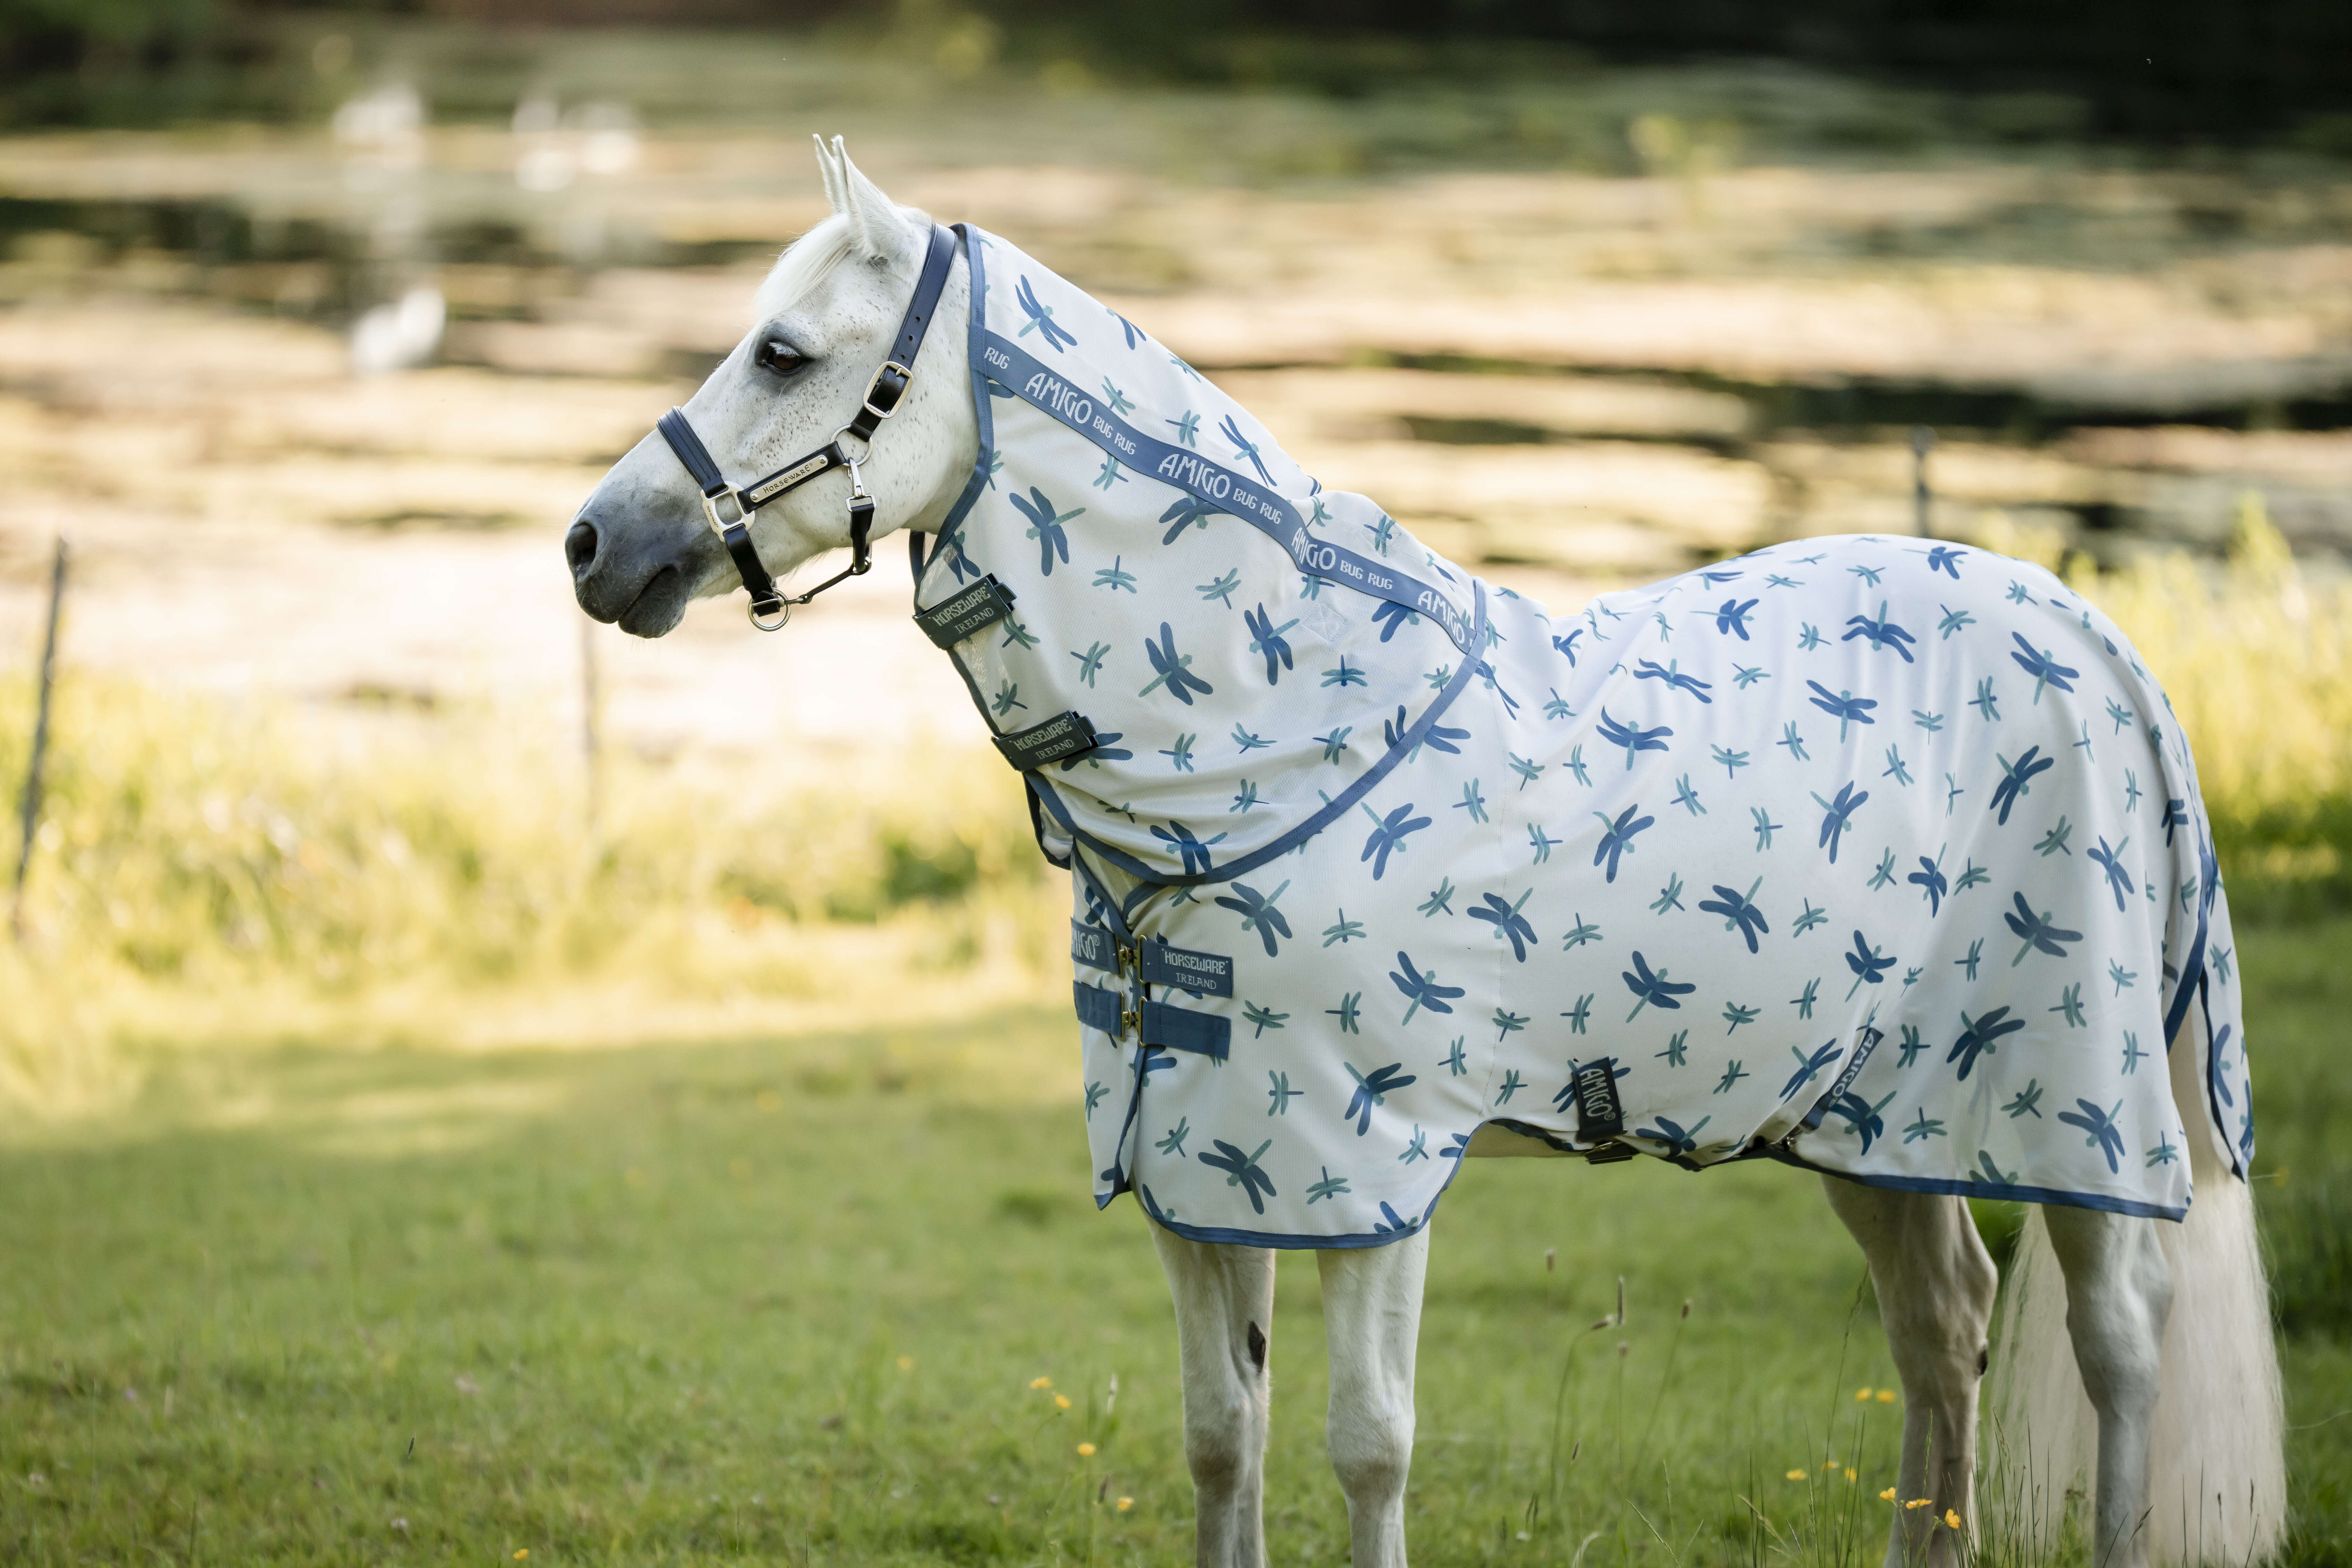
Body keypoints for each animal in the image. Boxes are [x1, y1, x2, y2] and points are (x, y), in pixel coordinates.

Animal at [566, 138, 2284, 1568]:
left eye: (785, 353)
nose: (593, 544)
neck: (1280, 739)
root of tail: (2094, 639)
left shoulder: (1366, 1174)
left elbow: (1366, 1444)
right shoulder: (1203, 1171)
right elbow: (1221, 1435)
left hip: (2071, 1111)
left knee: (2119, 1346)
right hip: (1870, 1114)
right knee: (1940, 1328)